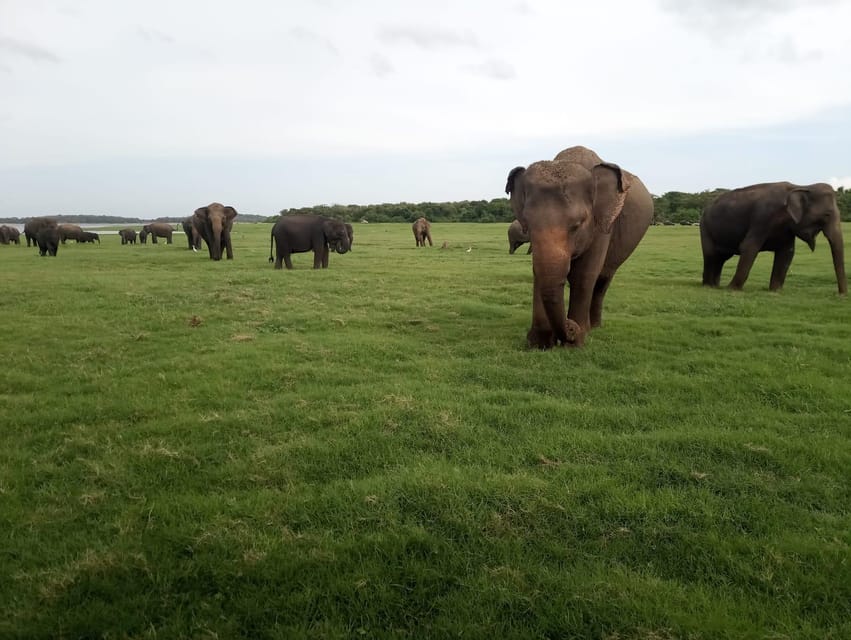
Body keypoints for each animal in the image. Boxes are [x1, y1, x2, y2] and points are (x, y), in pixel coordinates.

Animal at [506, 146, 652, 350]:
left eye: (577, 225)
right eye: (527, 223)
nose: (570, 327)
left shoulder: (602, 226)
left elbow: (583, 274)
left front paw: (575, 343)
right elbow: (538, 272)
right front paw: (540, 343)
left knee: (603, 279)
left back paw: (594, 327)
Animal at [700, 181, 844, 294]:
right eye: (827, 214)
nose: (841, 295)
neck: (800, 186)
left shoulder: (787, 230)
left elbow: (787, 253)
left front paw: (775, 291)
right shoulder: (762, 217)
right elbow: (748, 247)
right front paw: (732, 289)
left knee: (721, 258)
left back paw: (715, 286)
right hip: (705, 227)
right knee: (710, 255)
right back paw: (708, 286)